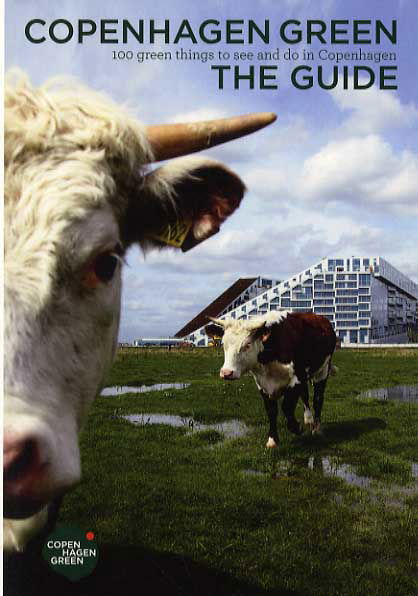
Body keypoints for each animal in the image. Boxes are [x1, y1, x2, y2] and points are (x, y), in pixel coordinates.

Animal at [207, 312, 338, 448]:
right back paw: (308, 419)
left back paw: (316, 428)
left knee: (318, 398)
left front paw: (296, 428)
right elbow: (271, 410)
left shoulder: (297, 378)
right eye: (223, 343)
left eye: (247, 345)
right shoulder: (262, 383)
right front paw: (272, 439)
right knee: (305, 395)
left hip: (323, 371)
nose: (226, 373)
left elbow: (287, 406)